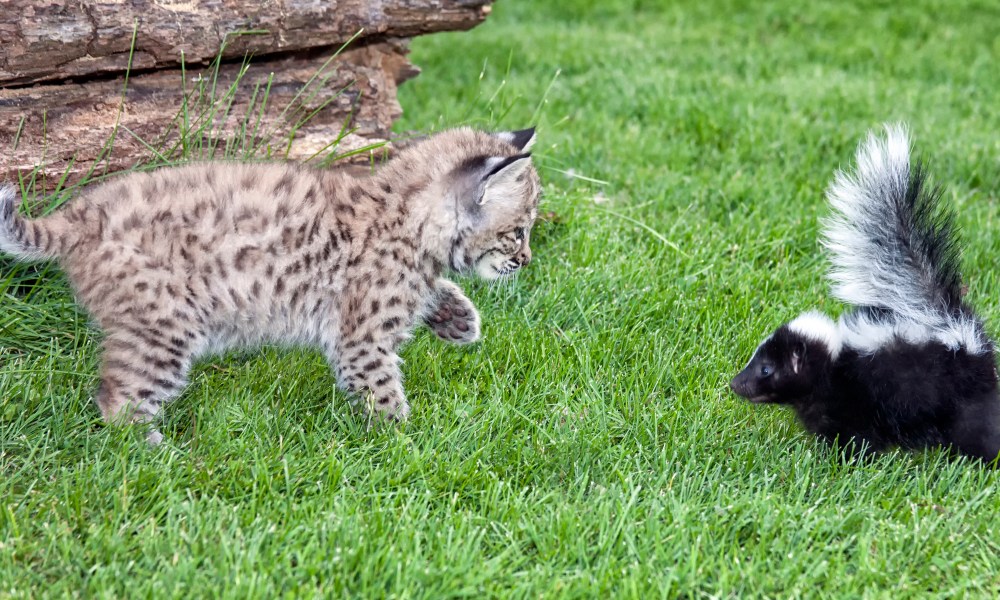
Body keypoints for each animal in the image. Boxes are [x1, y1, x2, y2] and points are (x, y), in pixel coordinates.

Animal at [1, 126, 540, 442]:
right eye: (518, 232)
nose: (528, 261)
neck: (403, 211)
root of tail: (78, 215)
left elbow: (431, 291)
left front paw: (458, 318)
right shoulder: (360, 341)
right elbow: (382, 392)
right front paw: (408, 445)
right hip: (166, 325)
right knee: (118, 397)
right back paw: (152, 454)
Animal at [728, 125, 1000, 464]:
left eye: (766, 369)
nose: (735, 384)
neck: (832, 364)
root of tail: (957, 329)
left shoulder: (856, 398)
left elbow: (854, 436)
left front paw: (846, 460)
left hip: (962, 395)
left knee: (977, 427)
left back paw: (979, 459)